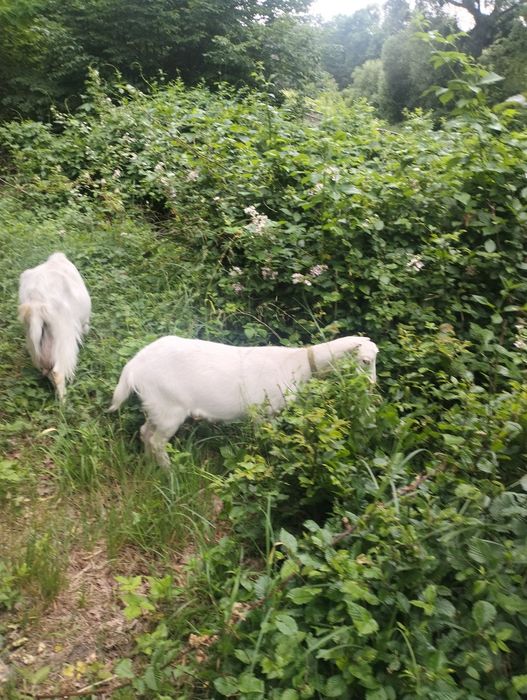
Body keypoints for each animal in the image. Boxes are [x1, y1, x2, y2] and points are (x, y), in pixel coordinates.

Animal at [18, 252, 91, 400]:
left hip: (33, 339)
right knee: (57, 372)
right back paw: (63, 401)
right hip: (64, 336)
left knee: (46, 369)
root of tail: (36, 304)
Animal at [109, 335, 378, 467]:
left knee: (145, 432)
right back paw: (170, 471)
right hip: (169, 408)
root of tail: (134, 366)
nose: (372, 385)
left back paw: (150, 466)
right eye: (365, 361)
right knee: (156, 441)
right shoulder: (265, 412)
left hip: (155, 406)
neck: (298, 363)